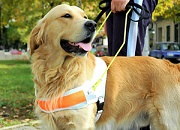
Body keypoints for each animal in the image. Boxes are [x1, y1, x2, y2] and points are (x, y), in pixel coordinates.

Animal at [28, 3, 179, 129]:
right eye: (66, 15)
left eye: (84, 17)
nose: (92, 24)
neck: (60, 72)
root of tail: (173, 65)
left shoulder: (81, 124)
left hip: (167, 121)